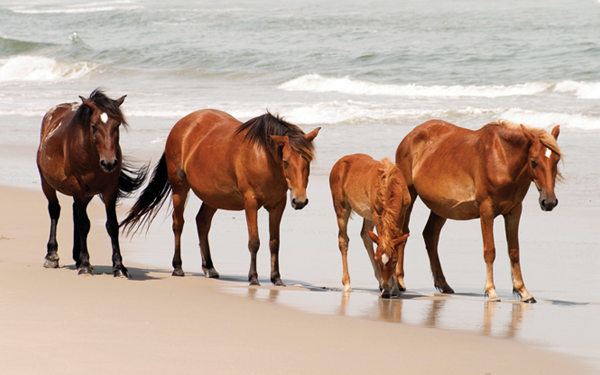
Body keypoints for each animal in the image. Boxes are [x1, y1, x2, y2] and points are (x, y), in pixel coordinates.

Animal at [37, 89, 148, 278]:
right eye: (94, 126)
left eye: (117, 125)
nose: (109, 163)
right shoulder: (77, 186)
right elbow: (84, 225)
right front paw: (85, 265)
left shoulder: (110, 189)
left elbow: (112, 225)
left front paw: (119, 267)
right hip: (48, 184)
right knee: (55, 210)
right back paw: (52, 256)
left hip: (87, 193)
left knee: (75, 211)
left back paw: (76, 256)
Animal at [119, 110, 322, 286]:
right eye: (286, 161)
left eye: (308, 161)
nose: (300, 200)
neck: (264, 157)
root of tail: (181, 124)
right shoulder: (251, 203)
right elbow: (254, 241)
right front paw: (253, 278)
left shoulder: (278, 206)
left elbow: (274, 243)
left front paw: (277, 279)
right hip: (180, 188)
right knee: (178, 223)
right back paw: (177, 267)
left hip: (213, 197)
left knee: (202, 222)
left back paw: (209, 267)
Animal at [330, 154, 410, 298]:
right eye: (377, 259)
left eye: (395, 260)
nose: (386, 291)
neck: (390, 184)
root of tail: (340, 162)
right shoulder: (377, 215)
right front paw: (388, 287)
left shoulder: (401, 214)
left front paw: (394, 288)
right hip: (342, 208)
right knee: (343, 240)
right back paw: (347, 285)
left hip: (368, 215)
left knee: (365, 236)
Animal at [394, 119, 564, 304]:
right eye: (533, 161)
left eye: (556, 160)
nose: (549, 202)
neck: (502, 159)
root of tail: (411, 135)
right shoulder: (486, 210)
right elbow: (490, 251)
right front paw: (491, 291)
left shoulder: (514, 211)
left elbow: (514, 251)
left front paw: (523, 292)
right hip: (409, 195)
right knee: (402, 234)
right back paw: (399, 281)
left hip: (441, 207)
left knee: (430, 236)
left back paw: (443, 284)